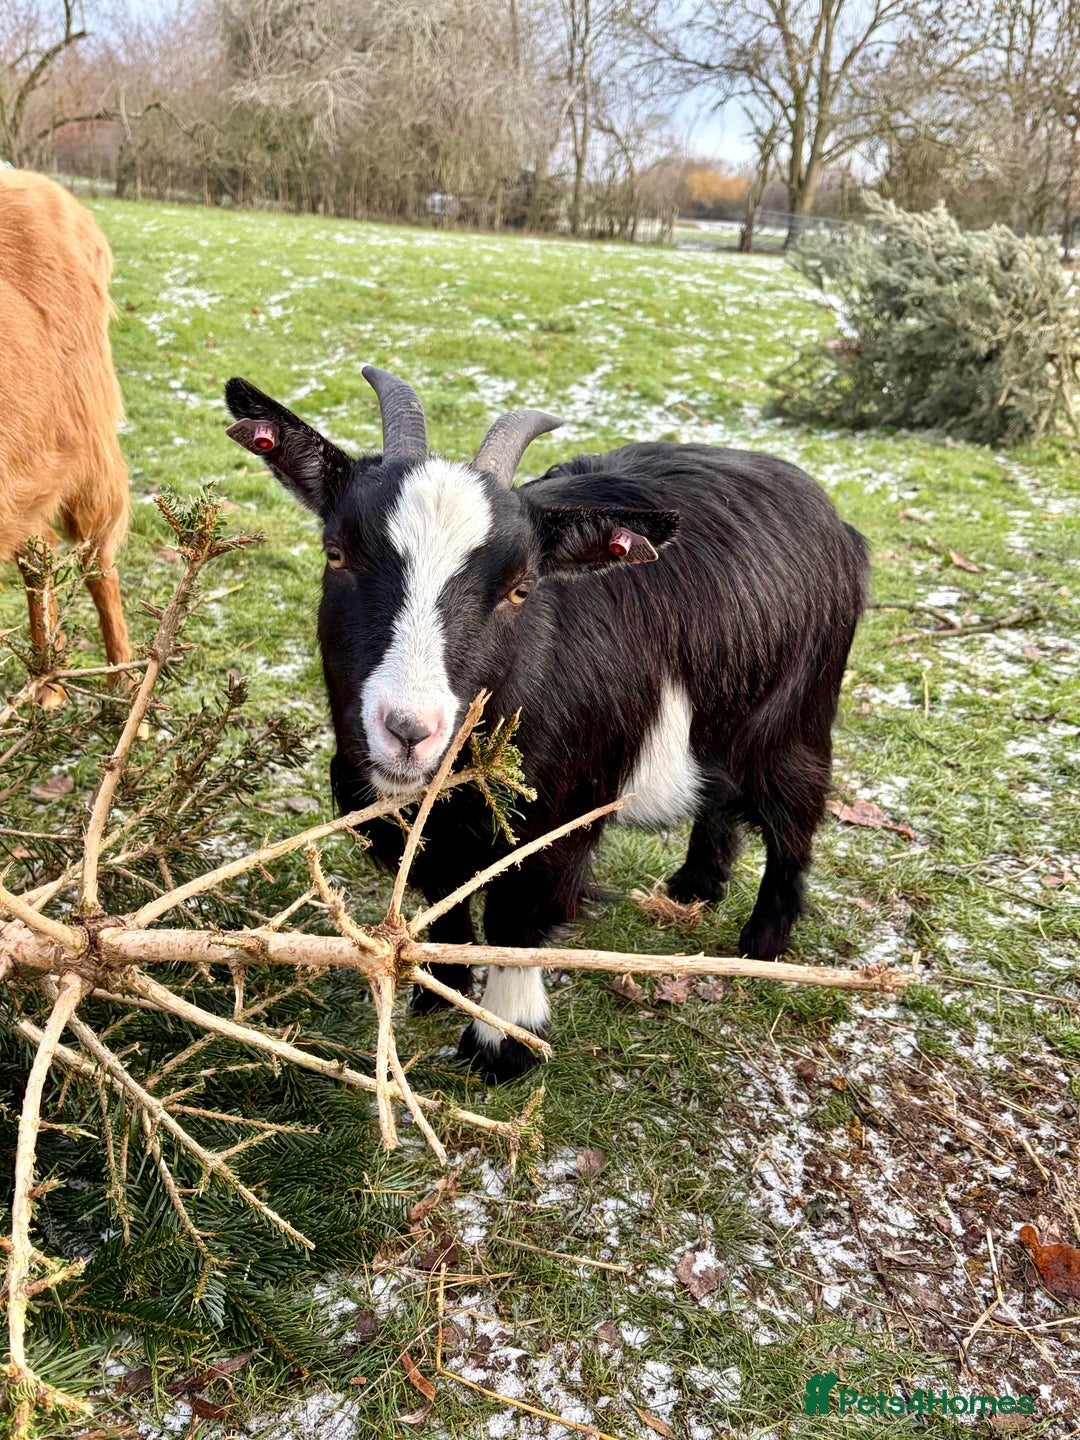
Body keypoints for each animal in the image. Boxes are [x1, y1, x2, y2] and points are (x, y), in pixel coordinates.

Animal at [226, 367, 869, 1081]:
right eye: (336, 554)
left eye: (520, 588)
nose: (409, 731)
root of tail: (833, 519)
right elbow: (443, 894)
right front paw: (434, 990)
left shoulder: (559, 815)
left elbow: (517, 920)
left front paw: (502, 1046)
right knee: (721, 794)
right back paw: (695, 887)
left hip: (794, 720)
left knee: (793, 821)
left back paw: (761, 945)